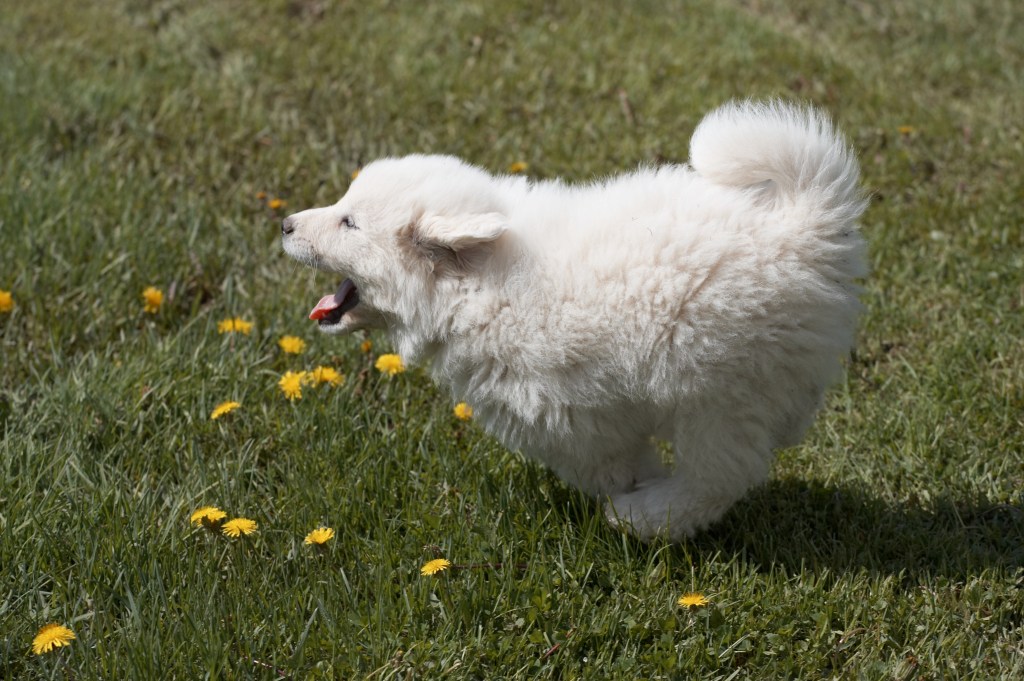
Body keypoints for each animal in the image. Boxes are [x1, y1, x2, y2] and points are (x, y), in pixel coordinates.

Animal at [284, 100, 868, 540]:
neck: (478, 284)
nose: (286, 224)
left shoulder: (567, 411)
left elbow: (609, 463)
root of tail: (805, 229)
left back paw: (643, 518)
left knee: (720, 475)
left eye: (349, 222)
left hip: (719, 387)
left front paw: (628, 494)